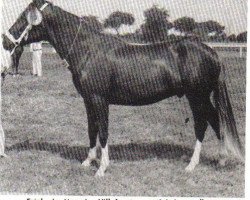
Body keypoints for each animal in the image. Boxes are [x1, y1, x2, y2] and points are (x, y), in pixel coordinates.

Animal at [1, 0, 244, 176]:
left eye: (24, 17)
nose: (6, 40)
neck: (87, 49)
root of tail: (211, 51)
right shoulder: (88, 100)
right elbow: (92, 130)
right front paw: (88, 161)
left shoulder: (100, 99)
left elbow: (104, 131)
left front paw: (101, 168)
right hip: (202, 97)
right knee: (215, 120)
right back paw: (221, 160)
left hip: (197, 97)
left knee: (202, 124)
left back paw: (192, 165)